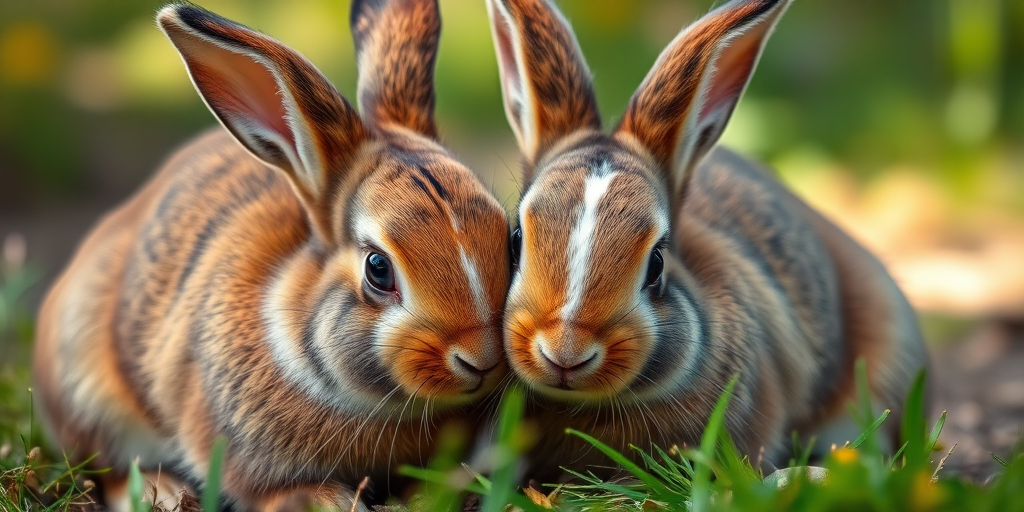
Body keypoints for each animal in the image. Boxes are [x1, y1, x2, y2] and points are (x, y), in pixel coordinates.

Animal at [32, 0, 511, 510]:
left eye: (506, 234)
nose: (481, 359)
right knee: (108, 467)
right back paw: (161, 491)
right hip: (87, 388)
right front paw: (325, 499)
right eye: (378, 269)